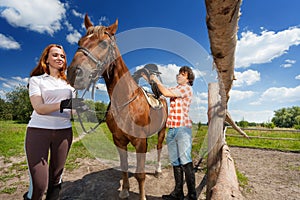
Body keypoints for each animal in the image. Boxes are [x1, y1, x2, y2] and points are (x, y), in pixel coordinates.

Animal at [66, 13, 168, 199]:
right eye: (80, 41)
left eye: (104, 43)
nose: (73, 73)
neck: (125, 103)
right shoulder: (119, 141)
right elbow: (125, 167)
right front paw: (125, 190)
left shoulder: (140, 142)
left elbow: (141, 174)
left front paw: (141, 195)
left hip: (162, 130)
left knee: (158, 148)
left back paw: (157, 171)